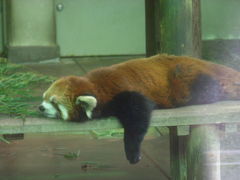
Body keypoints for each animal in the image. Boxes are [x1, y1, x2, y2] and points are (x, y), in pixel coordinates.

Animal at [39, 54, 240, 164]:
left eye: (54, 103)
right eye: (44, 97)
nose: (40, 107)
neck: (97, 87)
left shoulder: (125, 94)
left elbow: (138, 118)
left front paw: (132, 152)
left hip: (186, 78)